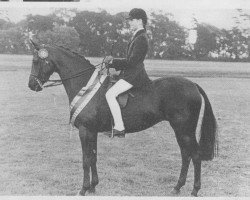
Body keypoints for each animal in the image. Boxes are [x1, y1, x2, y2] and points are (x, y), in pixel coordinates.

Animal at [28, 40, 218, 197]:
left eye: (36, 61)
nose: (31, 85)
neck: (85, 85)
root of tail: (193, 85)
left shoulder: (85, 130)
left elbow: (86, 159)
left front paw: (83, 189)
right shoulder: (92, 131)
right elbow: (93, 157)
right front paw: (93, 186)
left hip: (184, 130)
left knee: (195, 155)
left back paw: (194, 190)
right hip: (181, 131)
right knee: (186, 155)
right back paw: (177, 188)